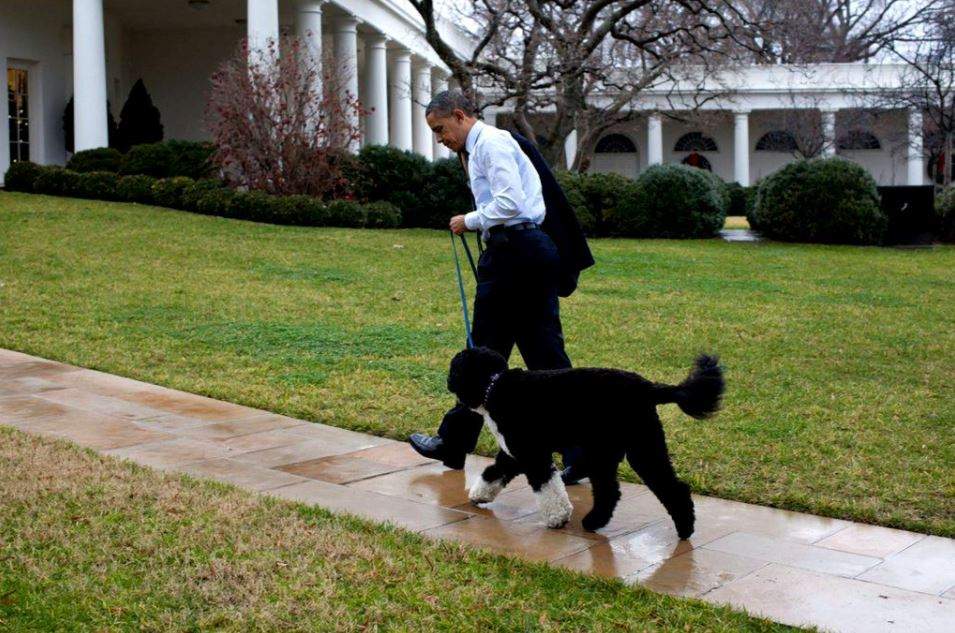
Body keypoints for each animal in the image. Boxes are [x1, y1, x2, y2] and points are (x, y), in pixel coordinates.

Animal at [448, 346, 724, 540]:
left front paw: (557, 517)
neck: (494, 386)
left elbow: (547, 487)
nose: (448, 382)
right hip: (634, 448)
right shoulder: (514, 453)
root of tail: (648, 387)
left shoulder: (532, 454)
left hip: (621, 450)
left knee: (630, 490)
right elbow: (494, 471)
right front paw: (479, 495)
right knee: (638, 489)